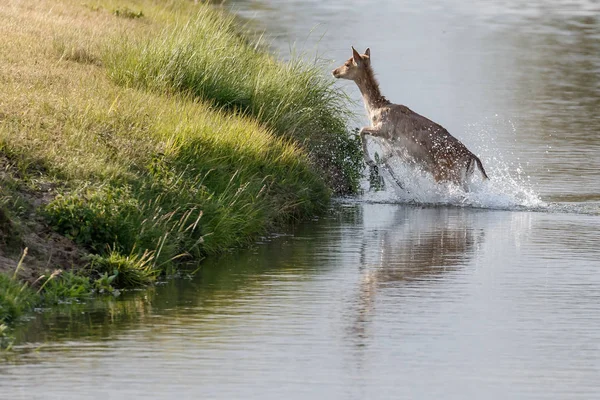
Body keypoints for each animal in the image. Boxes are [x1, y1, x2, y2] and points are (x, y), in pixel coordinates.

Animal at [332, 47, 488, 191]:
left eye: (347, 63)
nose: (334, 71)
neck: (375, 109)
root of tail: (471, 157)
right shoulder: (392, 147)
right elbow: (383, 161)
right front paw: (402, 186)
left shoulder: (384, 130)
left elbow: (362, 130)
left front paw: (369, 161)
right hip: (464, 179)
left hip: (447, 175)